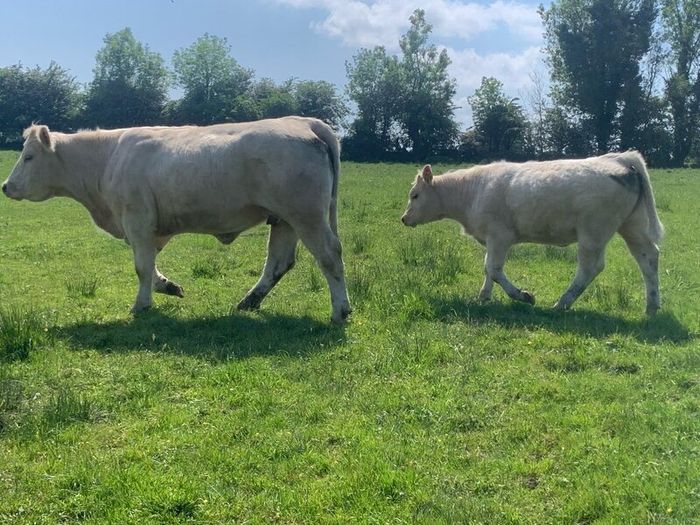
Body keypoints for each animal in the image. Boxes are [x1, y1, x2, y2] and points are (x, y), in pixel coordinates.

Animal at [2, 117, 351, 323]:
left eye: (28, 157)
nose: (6, 186)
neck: (107, 159)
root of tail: (304, 122)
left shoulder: (137, 219)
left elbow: (141, 266)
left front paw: (141, 305)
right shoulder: (150, 227)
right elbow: (150, 263)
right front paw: (168, 287)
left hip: (306, 215)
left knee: (329, 255)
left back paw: (340, 310)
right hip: (284, 219)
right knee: (279, 262)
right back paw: (249, 302)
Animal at [401, 152, 664, 315]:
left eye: (415, 195)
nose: (403, 218)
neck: (472, 191)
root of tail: (620, 159)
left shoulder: (499, 236)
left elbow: (494, 269)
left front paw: (523, 296)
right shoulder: (491, 240)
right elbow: (488, 268)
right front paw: (483, 297)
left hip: (593, 233)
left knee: (591, 267)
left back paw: (562, 303)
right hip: (632, 225)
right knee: (648, 257)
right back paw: (652, 305)